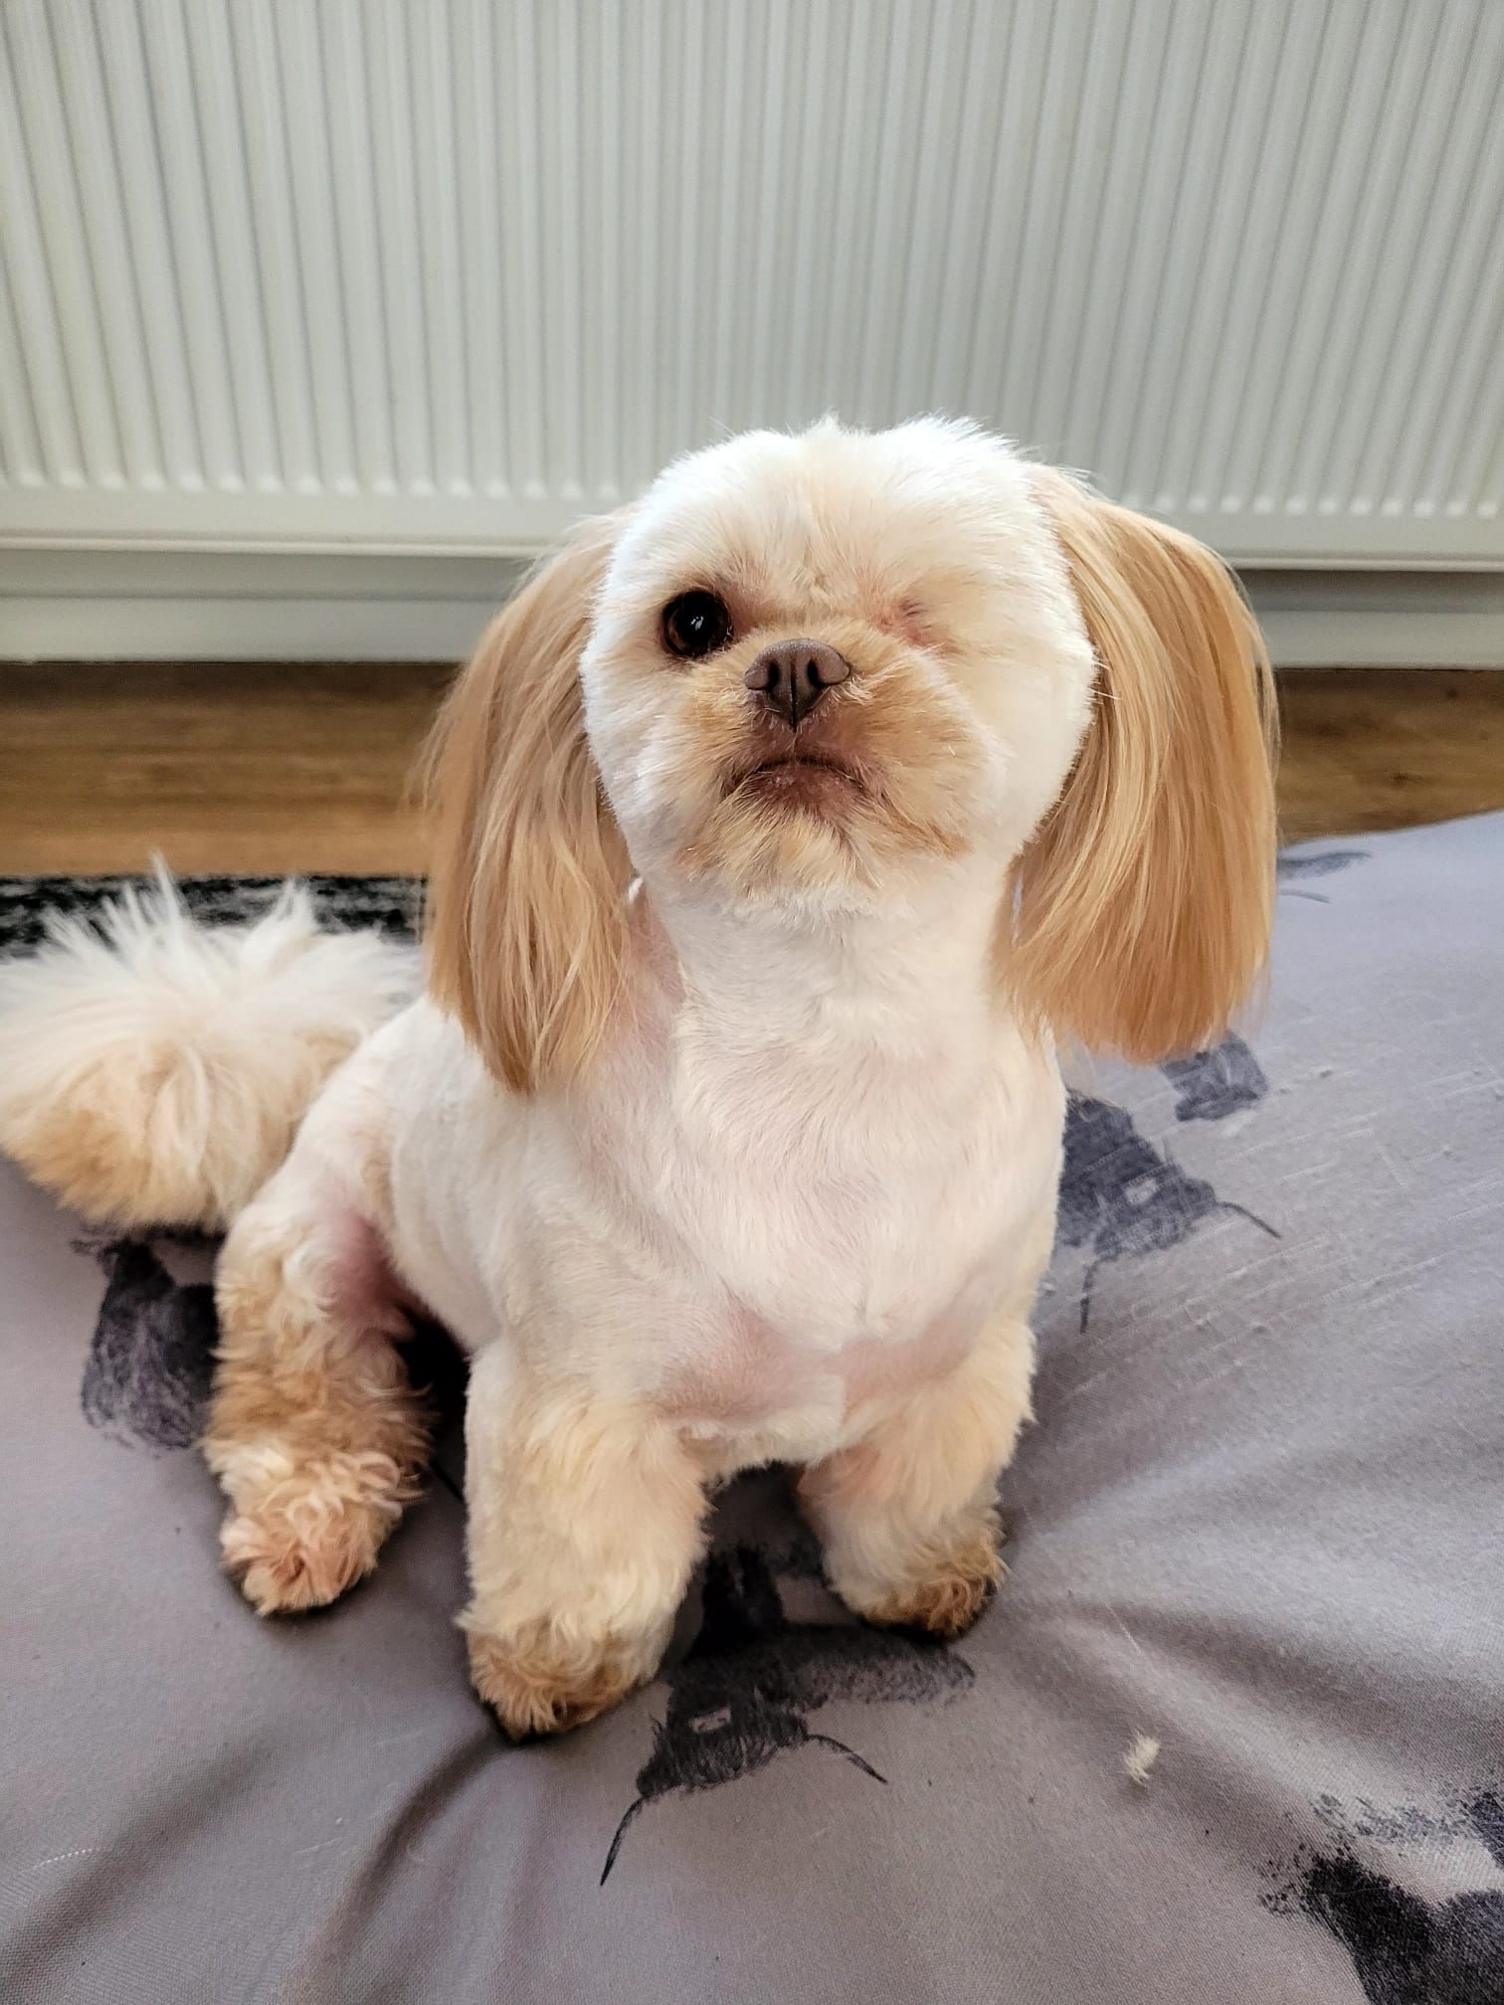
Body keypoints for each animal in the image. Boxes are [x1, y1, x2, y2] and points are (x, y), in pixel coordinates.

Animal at [0, 419, 1275, 1740]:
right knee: (302, 1402)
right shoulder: (573, 1404)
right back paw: (311, 1519)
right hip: (309, 1261)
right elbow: (585, 1566)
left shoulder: (951, 1367)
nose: (800, 664)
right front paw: (548, 1679)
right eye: (694, 621)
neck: (825, 1042)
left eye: (926, 611)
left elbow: (901, 1500)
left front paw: (922, 1578)